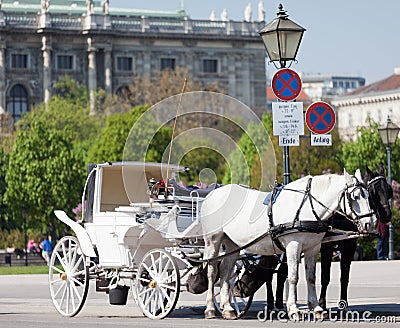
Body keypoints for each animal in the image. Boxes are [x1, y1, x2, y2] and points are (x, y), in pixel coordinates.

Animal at [203, 170, 376, 320]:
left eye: (368, 195)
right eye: (355, 196)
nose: (370, 223)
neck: (306, 207)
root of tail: (212, 194)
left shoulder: (313, 248)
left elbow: (311, 277)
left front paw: (317, 308)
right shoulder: (293, 246)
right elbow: (293, 277)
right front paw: (293, 309)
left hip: (232, 244)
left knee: (225, 271)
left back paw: (227, 308)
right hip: (213, 241)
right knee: (212, 271)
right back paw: (210, 308)